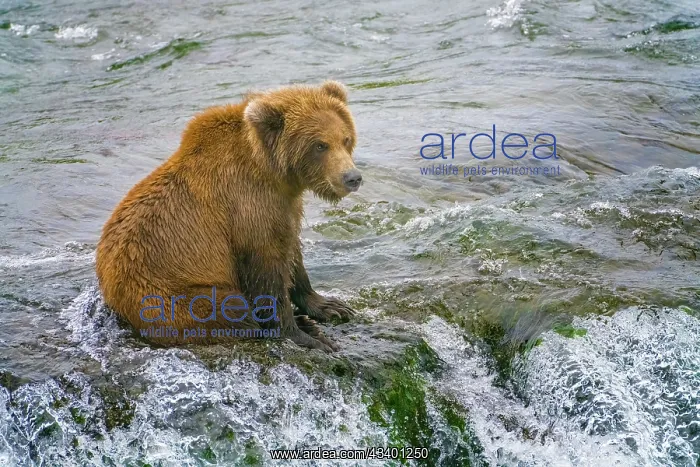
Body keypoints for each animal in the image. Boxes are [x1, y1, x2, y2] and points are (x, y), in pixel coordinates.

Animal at [95, 81, 362, 352]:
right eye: (320, 145)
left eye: (345, 138)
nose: (352, 177)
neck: (273, 172)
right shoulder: (247, 205)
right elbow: (267, 270)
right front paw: (308, 337)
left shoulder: (285, 205)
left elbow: (292, 252)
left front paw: (330, 306)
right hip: (168, 296)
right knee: (228, 308)